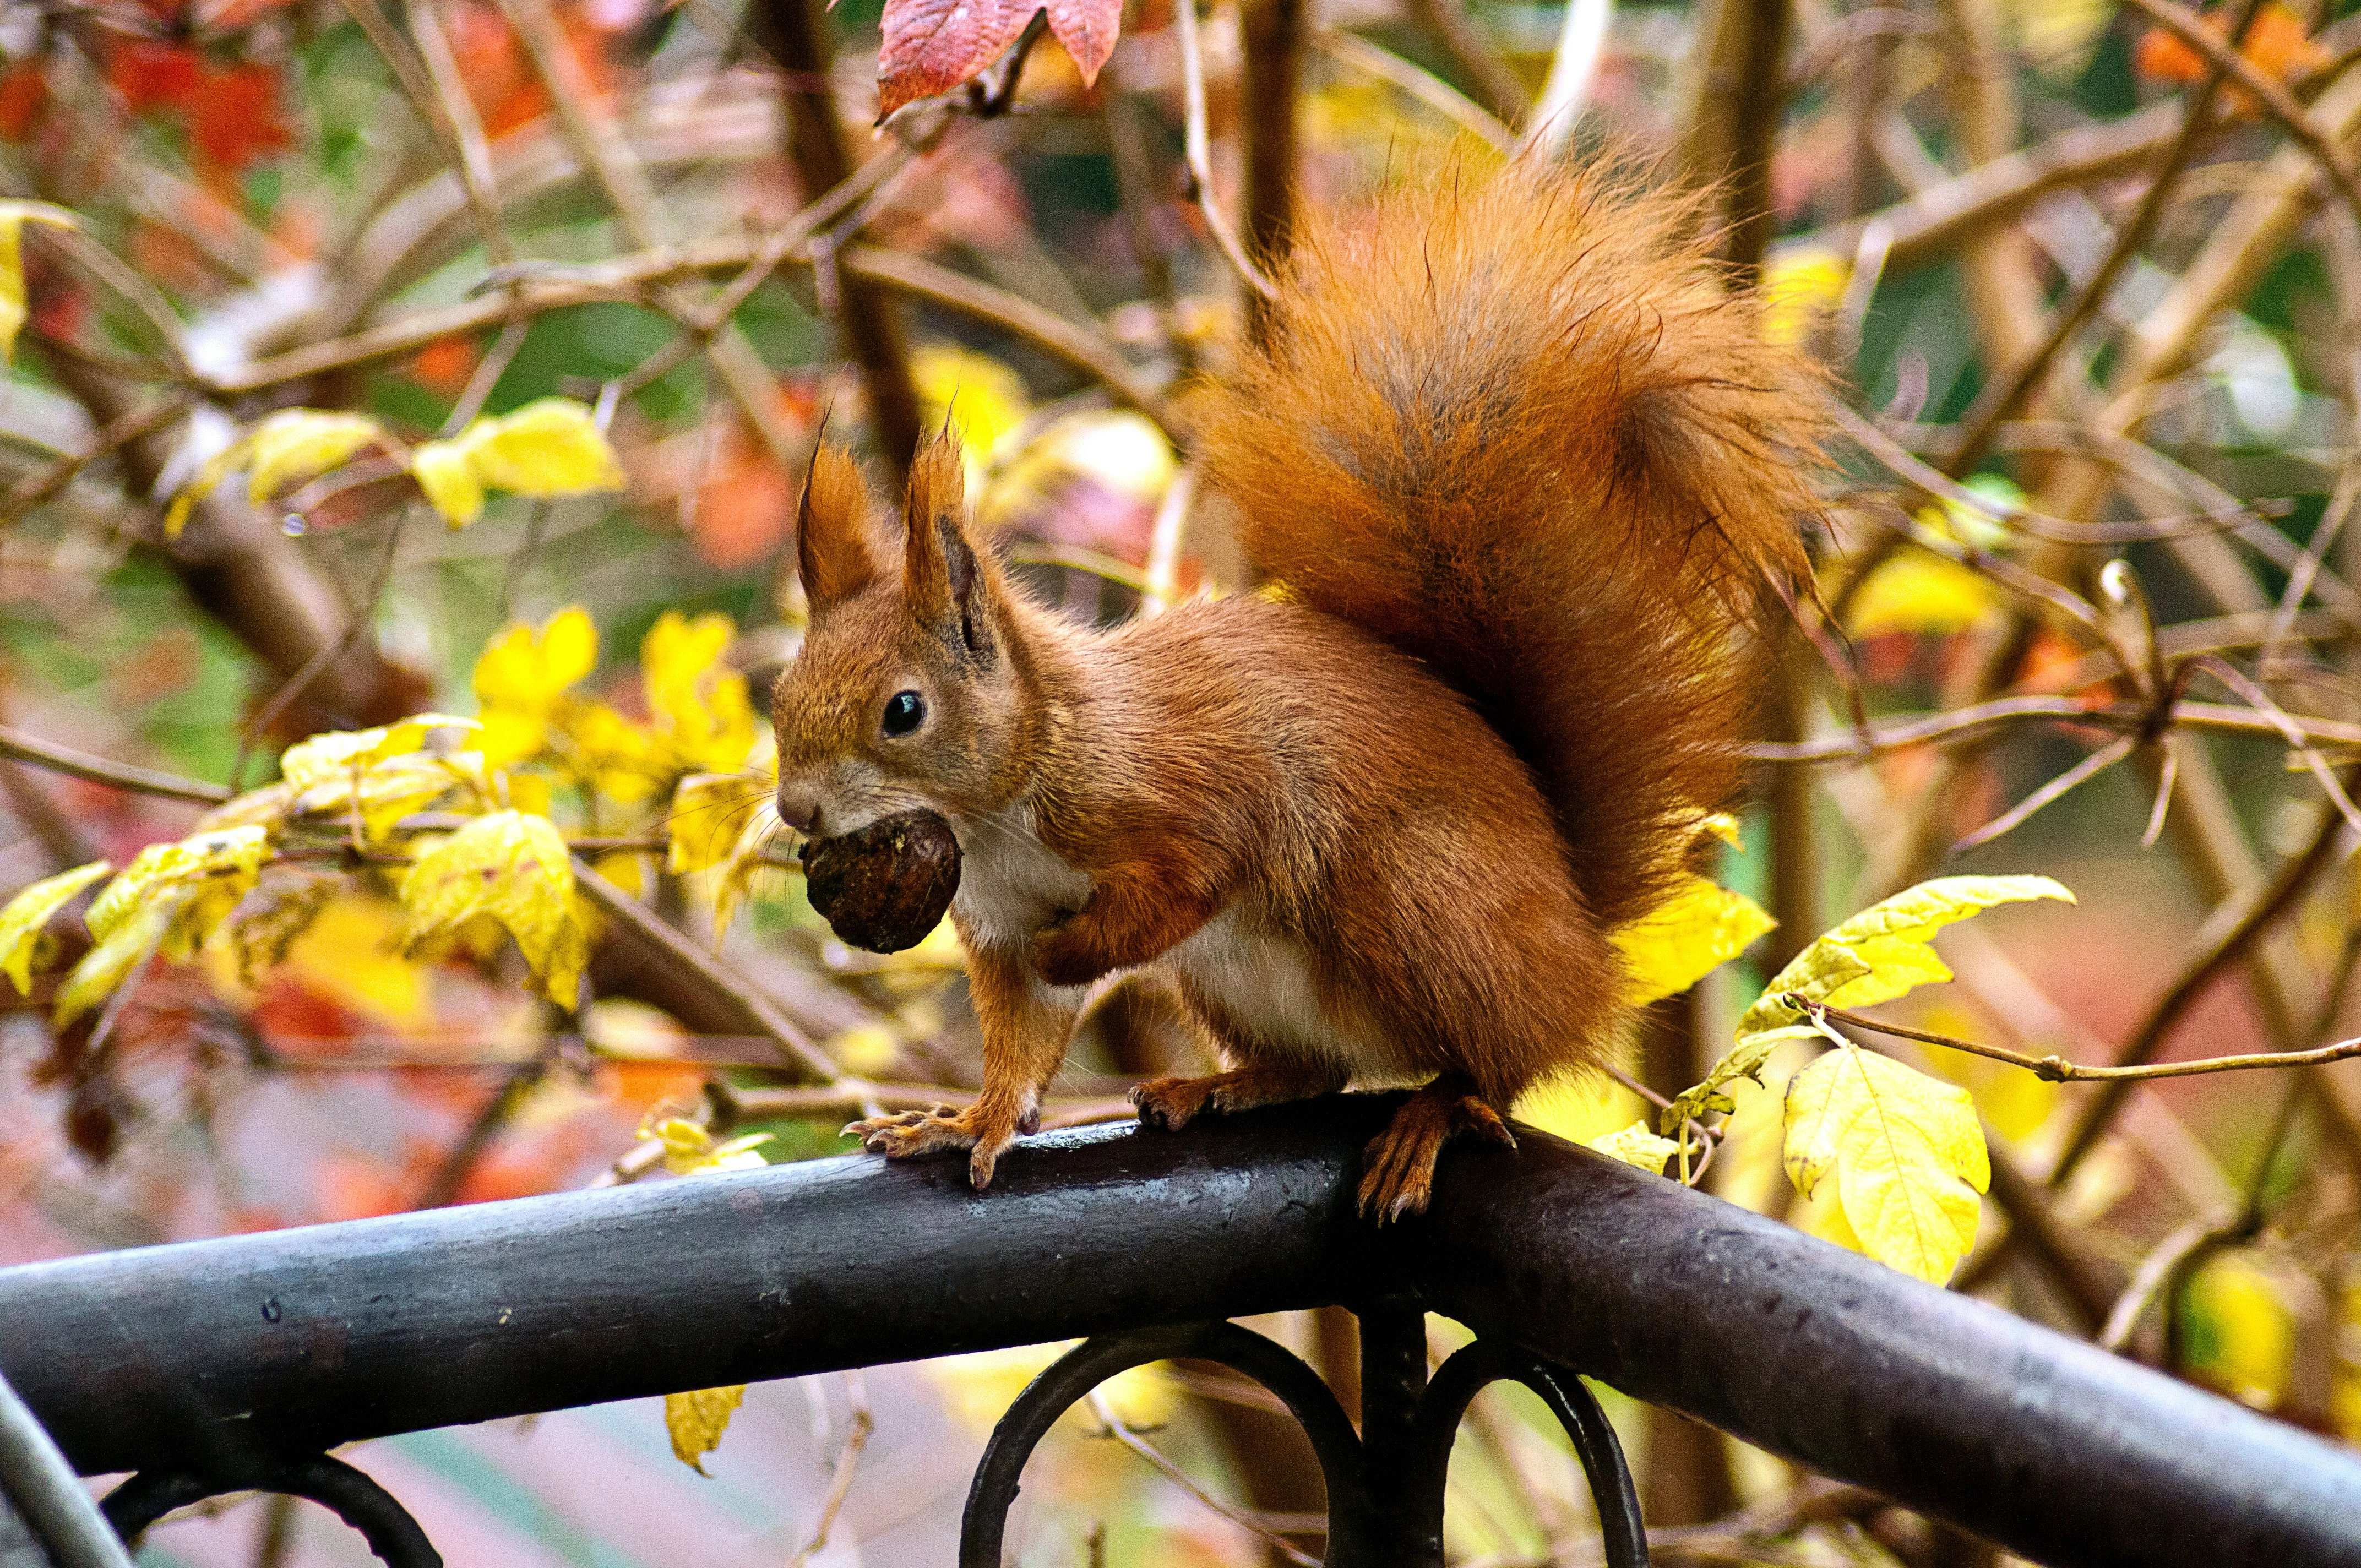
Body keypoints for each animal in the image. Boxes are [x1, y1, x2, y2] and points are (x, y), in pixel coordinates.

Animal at [770, 160, 1830, 1219]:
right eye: (782, 699)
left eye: (903, 711)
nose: (796, 810)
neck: (1009, 795)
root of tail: (1576, 934)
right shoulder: (998, 920)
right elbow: (1022, 1043)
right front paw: (965, 1122)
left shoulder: (1178, 791)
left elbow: (1188, 878)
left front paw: (1076, 952)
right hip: (1242, 981)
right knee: (1323, 1071)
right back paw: (1220, 1085)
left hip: (1417, 904)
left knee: (1499, 1063)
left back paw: (1432, 1114)